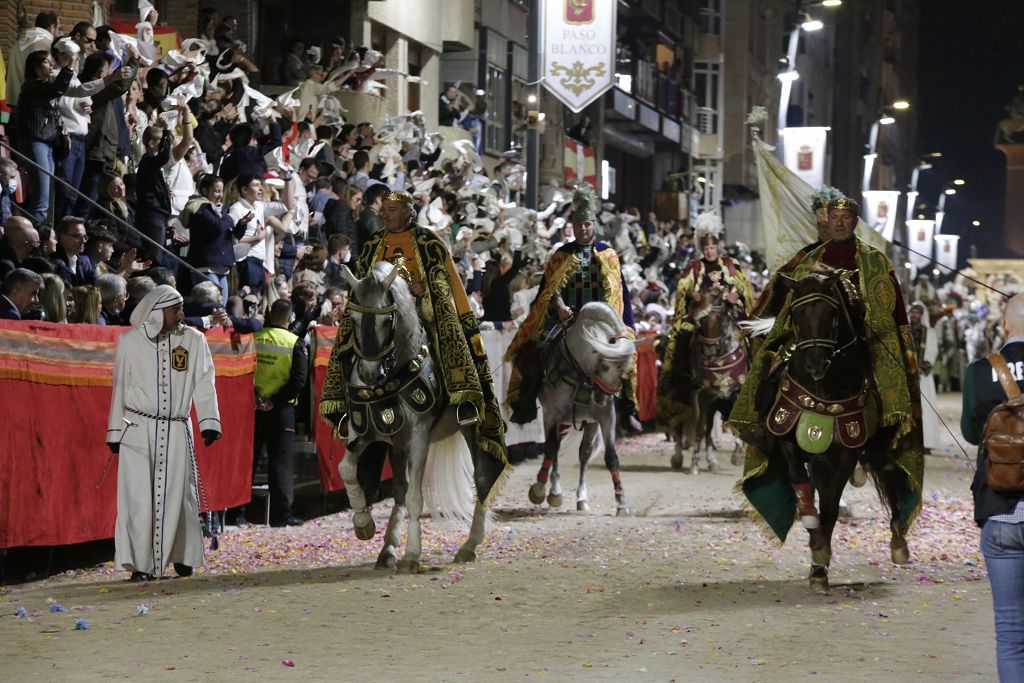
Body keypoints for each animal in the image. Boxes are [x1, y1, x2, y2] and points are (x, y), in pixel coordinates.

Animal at [528, 301, 630, 516]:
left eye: (623, 369)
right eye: (606, 366)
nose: (603, 397)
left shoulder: (606, 416)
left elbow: (611, 457)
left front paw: (622, 503)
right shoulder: (554, 413)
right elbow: (551, 448)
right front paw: (542, 490)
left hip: (589, 422)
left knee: (584, 453)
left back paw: (581, 498)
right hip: (554, 417)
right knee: (554, 447)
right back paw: (552, 490)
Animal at [770, 272, 909, 593]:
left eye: (831, 314)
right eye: (795, 314)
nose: (815, 364)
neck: (823, 390)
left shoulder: (842, 455)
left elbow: (830, 508)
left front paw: (820, 559)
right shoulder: (790, 443)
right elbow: (803, 492)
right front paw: (816, 548)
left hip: (878, 448)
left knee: (888, 474)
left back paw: (898, 542)